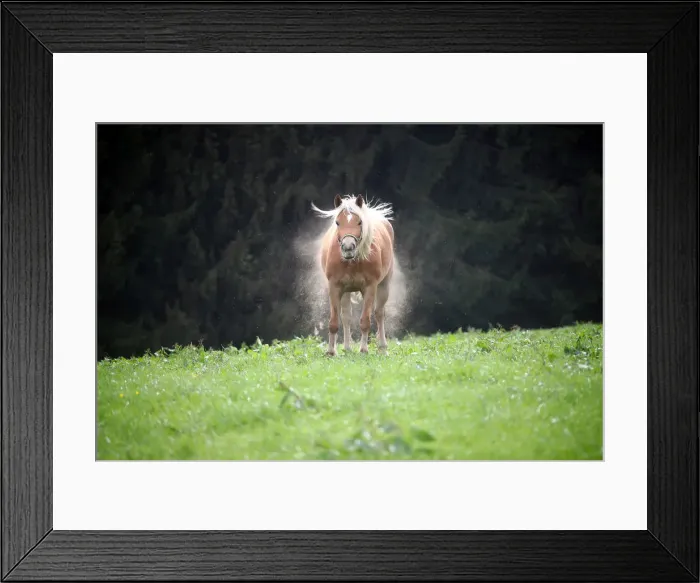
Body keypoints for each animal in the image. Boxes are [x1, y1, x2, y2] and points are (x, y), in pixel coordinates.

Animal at [311, 193, 395, 356]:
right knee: (346, 316)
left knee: (379, 313)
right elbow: (334, 322)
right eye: (337, 222)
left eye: (359, 222)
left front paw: (363, 350)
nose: (348, 247)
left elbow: (365, 321)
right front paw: (331, 352)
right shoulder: (335, 287)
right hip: (346, 291)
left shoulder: (370, 287)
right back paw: (347, 348)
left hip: (384, 286)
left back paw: (382, 347)